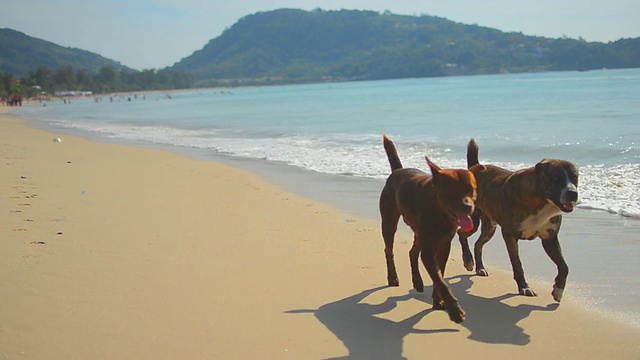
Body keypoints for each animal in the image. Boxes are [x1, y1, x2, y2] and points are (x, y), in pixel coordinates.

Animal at [458, 139, 576, 302]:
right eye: (557, 179)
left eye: (575, 178)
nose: (573, 193)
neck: (541, 201)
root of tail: (475, 167)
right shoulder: (510, 235)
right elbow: (517, 263)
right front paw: (524, 287)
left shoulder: (549, 238)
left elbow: (564, 266)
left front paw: (558, 289)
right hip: (474, 220)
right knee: (461, 234)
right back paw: (468, 260)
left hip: (490, 227)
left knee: (478, 244)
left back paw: (480, 267)